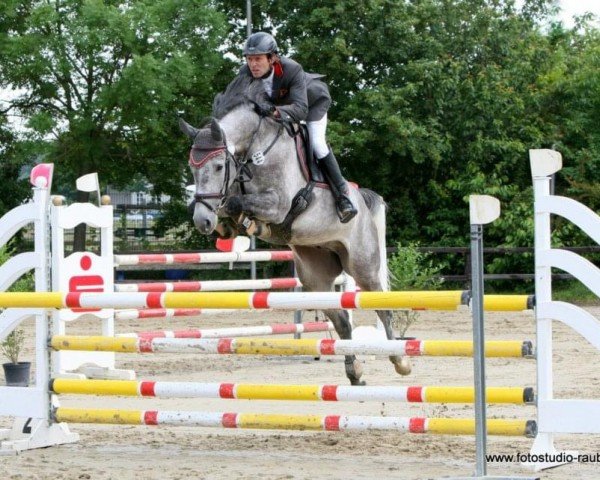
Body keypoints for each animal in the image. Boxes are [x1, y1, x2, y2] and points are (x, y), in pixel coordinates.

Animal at [180, 79, 410, 386]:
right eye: (192, 168)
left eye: (218, 166)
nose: (202, 221)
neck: (252, 151)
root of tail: (362, 197)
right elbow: (231, 208)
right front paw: (227, 223)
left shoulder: (278, 204)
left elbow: (238, 203)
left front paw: (246, 220)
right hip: (315, 274)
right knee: (342, 320)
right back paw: (355, 372)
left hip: (362, 265)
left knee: (382, 306)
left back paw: (400, 360)